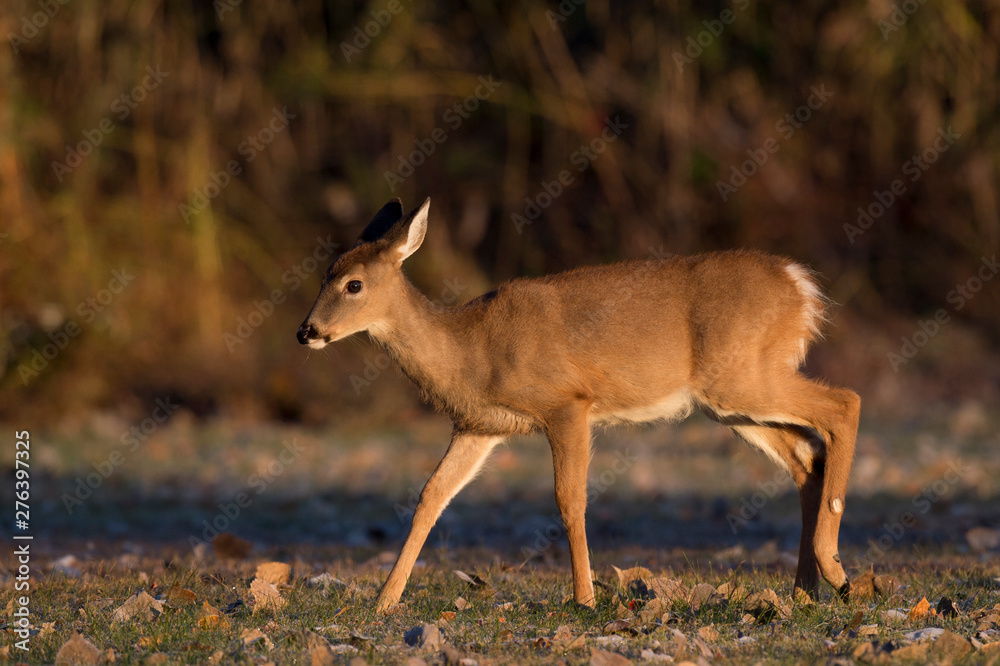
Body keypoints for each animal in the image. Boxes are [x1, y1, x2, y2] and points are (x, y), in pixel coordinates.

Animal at [297, 197, 860, 612]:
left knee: (845, 403)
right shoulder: (480, 426)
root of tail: (800, 285)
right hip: (732, 402)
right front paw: (384, 601)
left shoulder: (567, 403)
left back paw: (836, 570)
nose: (307, 332)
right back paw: (804, 591)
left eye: (354, 284)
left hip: (743, 377)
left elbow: (569, 499)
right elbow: (430, 496)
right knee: (807, 458)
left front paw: (585, 599)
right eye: (324, 274)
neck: (472, 351)